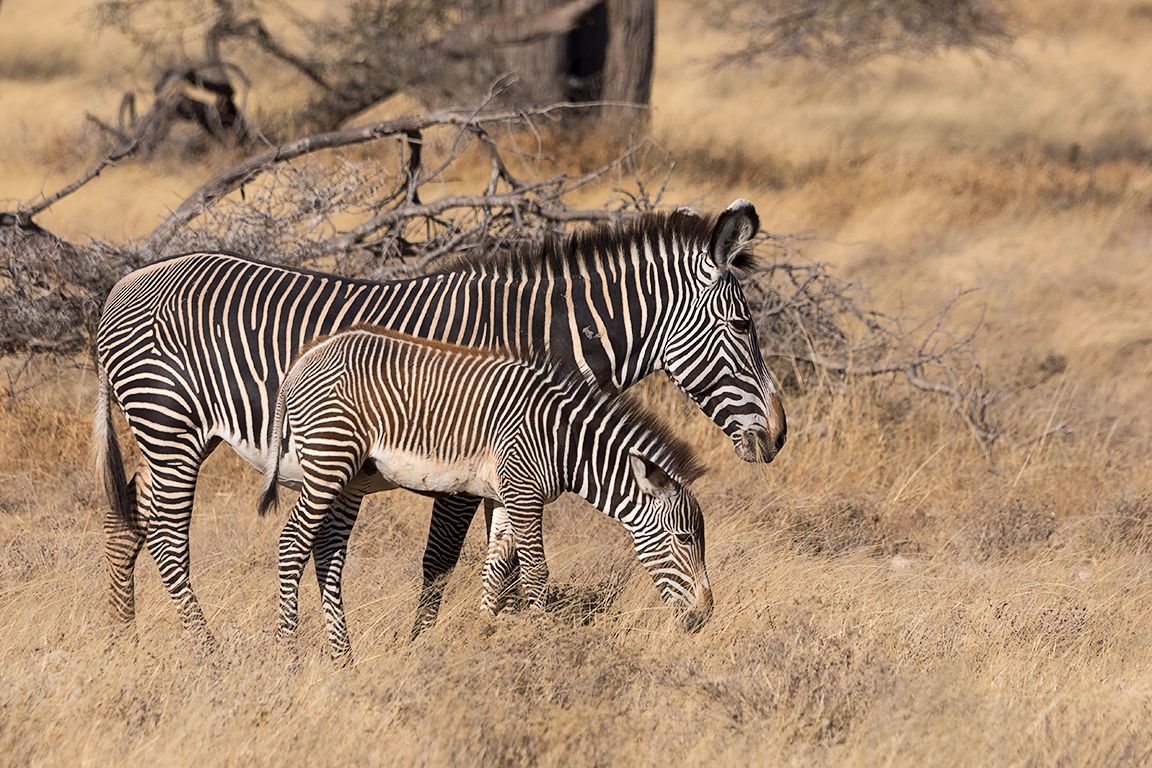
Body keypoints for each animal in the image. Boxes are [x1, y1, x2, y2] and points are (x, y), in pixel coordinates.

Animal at [258, 327, 712, 663]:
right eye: (685, 538)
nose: (704, 617)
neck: (564, 442)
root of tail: (306, 355)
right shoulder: (525, 493)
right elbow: (535, 572)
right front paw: (543, 642)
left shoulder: (505, 495)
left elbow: (495, 569)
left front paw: (484, 634)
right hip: (329, 458)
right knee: (293, 541)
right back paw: (287, 653)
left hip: (352, 474)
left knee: (327, 552)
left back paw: (344, 659)